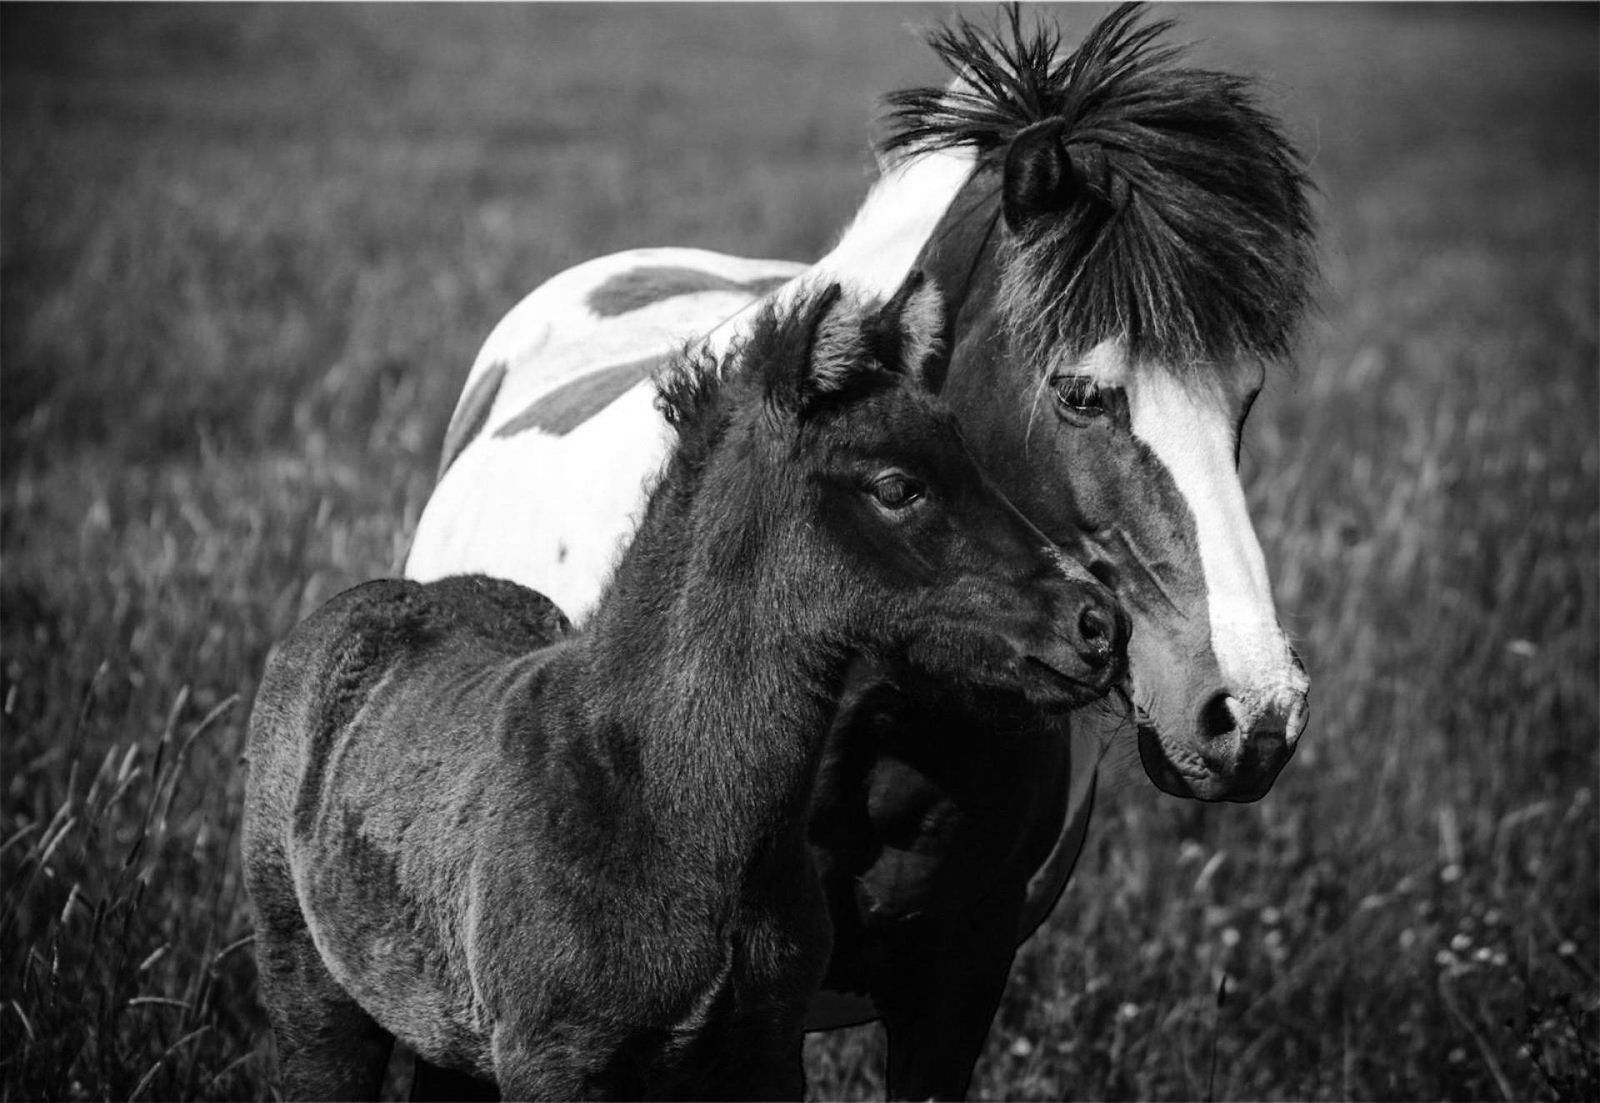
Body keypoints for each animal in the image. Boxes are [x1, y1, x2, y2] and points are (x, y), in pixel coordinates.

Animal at [244, 278, 1130, 1101]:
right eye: (895, 486)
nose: (1099, 624)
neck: (673, 810)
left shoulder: (764, 1052)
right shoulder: (556, 1061)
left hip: (448, 1040)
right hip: (311, 991)